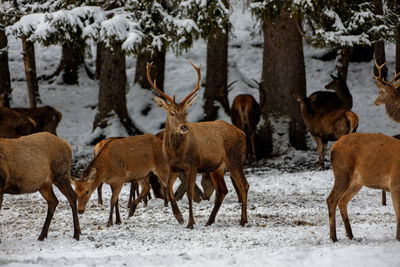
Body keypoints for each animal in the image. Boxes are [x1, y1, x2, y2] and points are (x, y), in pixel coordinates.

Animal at [147, 61, 247, 230]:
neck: (176, 153)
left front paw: (190, 222)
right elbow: (168, 189)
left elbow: (189, 193)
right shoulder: (172, 167)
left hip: (235, 159)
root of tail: (242, 133)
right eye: (171, 113)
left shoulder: (193, 165)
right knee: (223, 190)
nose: (184, 127)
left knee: (244, 185)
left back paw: (243, 220)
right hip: (216, 168)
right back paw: (210, 221)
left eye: (186, 112)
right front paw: (179, 217)